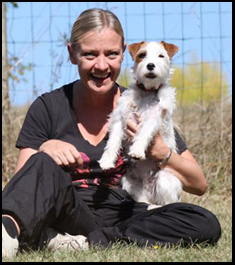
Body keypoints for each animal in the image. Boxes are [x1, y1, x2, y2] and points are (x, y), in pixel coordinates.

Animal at [98, 41, 183, 206]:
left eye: (161, 56)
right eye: (142, 55)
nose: (150, 65)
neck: (147, 91)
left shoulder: (152, 118)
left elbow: (143, 133)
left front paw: (137, 150)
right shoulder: (120, 118)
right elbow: (113, 142)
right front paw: (106, 160)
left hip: (164, 180)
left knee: (167, 203)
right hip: (129, 182)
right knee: (144, 200)